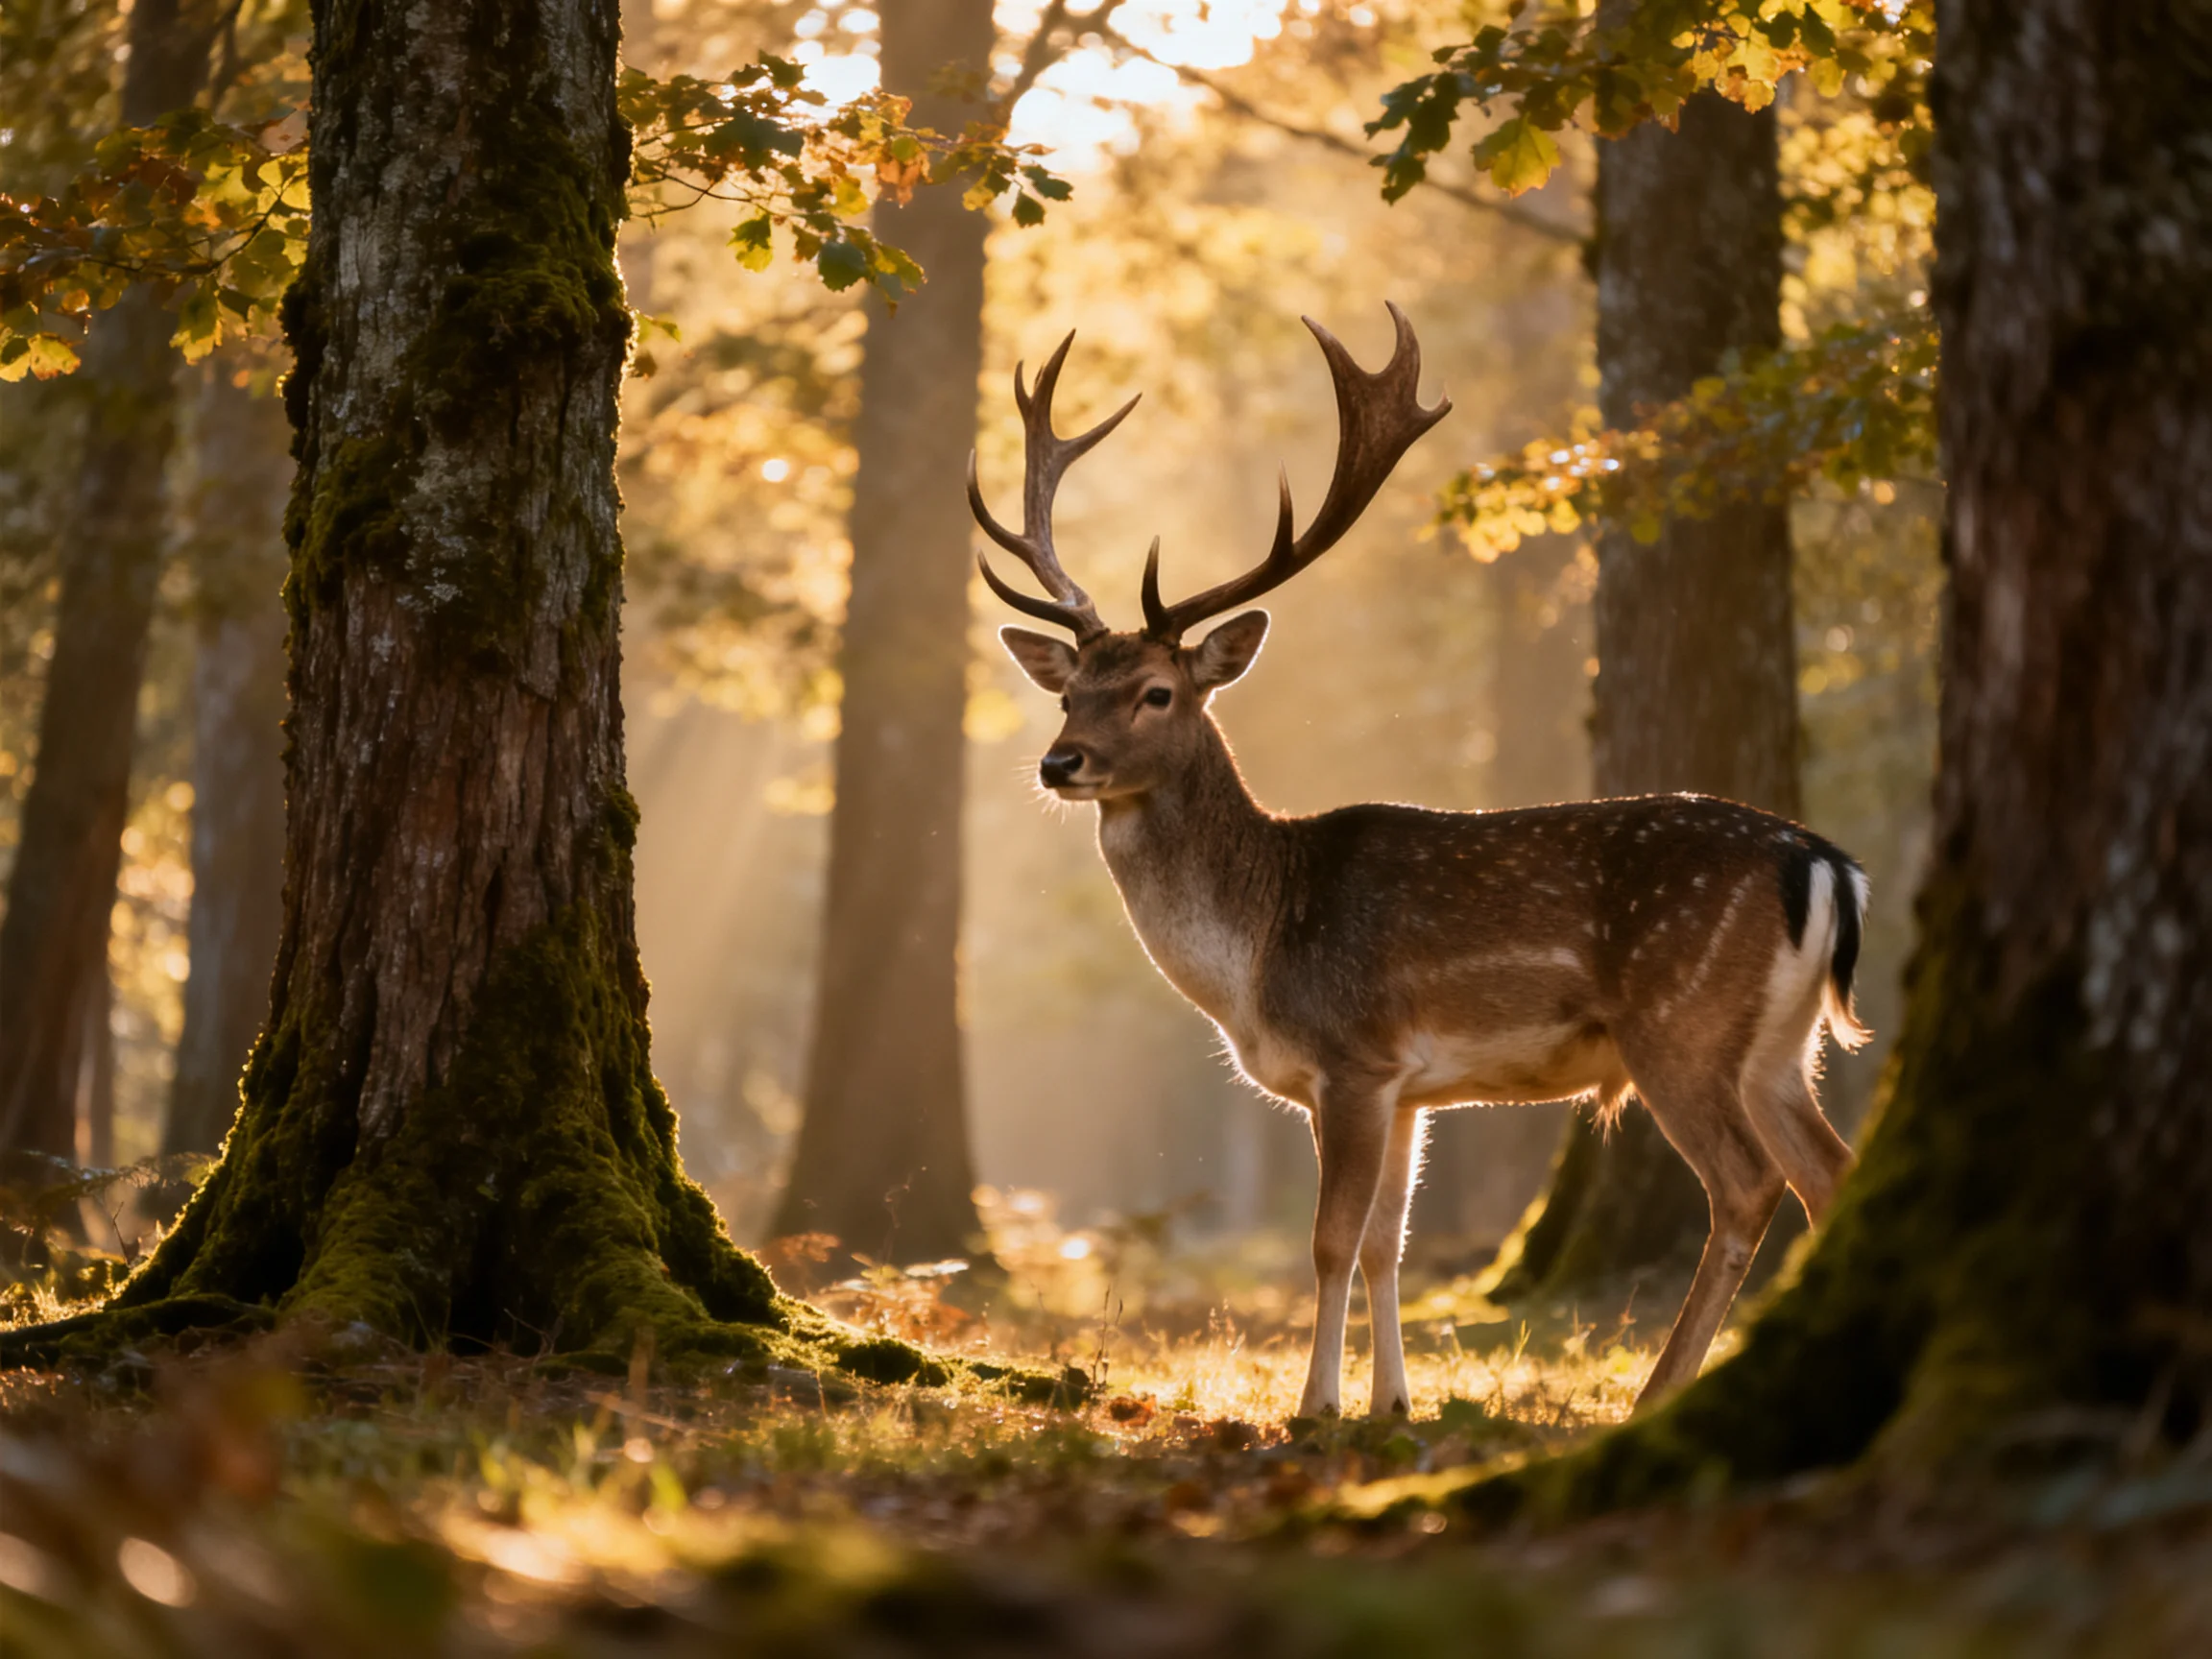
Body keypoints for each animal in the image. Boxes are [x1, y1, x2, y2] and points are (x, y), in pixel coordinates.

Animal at [970, 305, 1870, 1418]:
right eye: (1067, 692)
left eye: (1156, 693)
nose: (1060, 763)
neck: (1256, 955)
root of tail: (1823, 861)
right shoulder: (1408, 1089)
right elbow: (1387, 1245)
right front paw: (1389, 1404)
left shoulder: (1353, 1058)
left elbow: (1330, 1242)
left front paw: (1314, 1408)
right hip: (1780, 1045)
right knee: (1831, 1172)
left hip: (1682, 1022)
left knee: (1748, 1186)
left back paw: (1659, 1392)